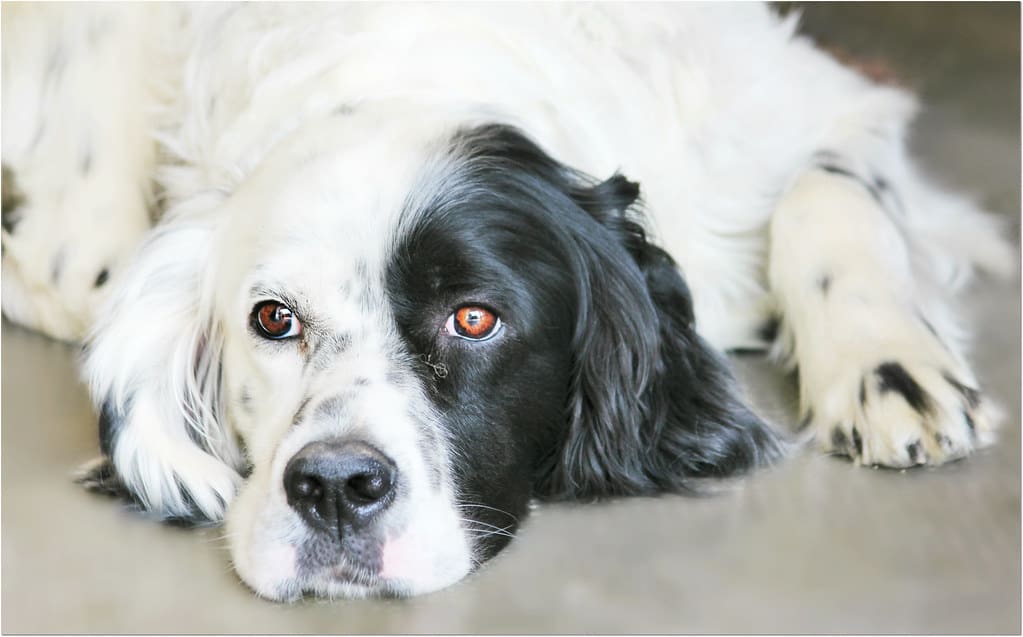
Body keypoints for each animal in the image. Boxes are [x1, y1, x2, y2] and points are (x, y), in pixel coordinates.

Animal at [1, 2, 1014, 601]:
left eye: (475, 318)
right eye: (273, 319)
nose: (333, 489)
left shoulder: (831, 102)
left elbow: (826, 193)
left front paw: (890, 367)